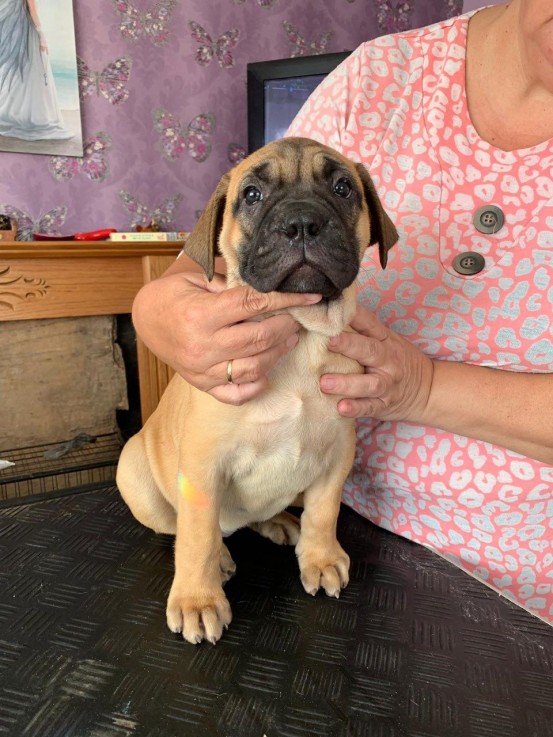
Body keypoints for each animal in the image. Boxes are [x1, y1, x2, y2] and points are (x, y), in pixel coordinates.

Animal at [116, 135, 394, 640]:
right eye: (251, 195)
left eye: (343, 188)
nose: (301, 223)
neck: (302, 336)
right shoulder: (203, 468)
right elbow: (195, 537)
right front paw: (197, 598)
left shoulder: (337, 452)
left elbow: (324, 511)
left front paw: (320, 557)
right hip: (137, 476)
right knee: (184, 527)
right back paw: (222, 558)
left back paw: (280, 522)